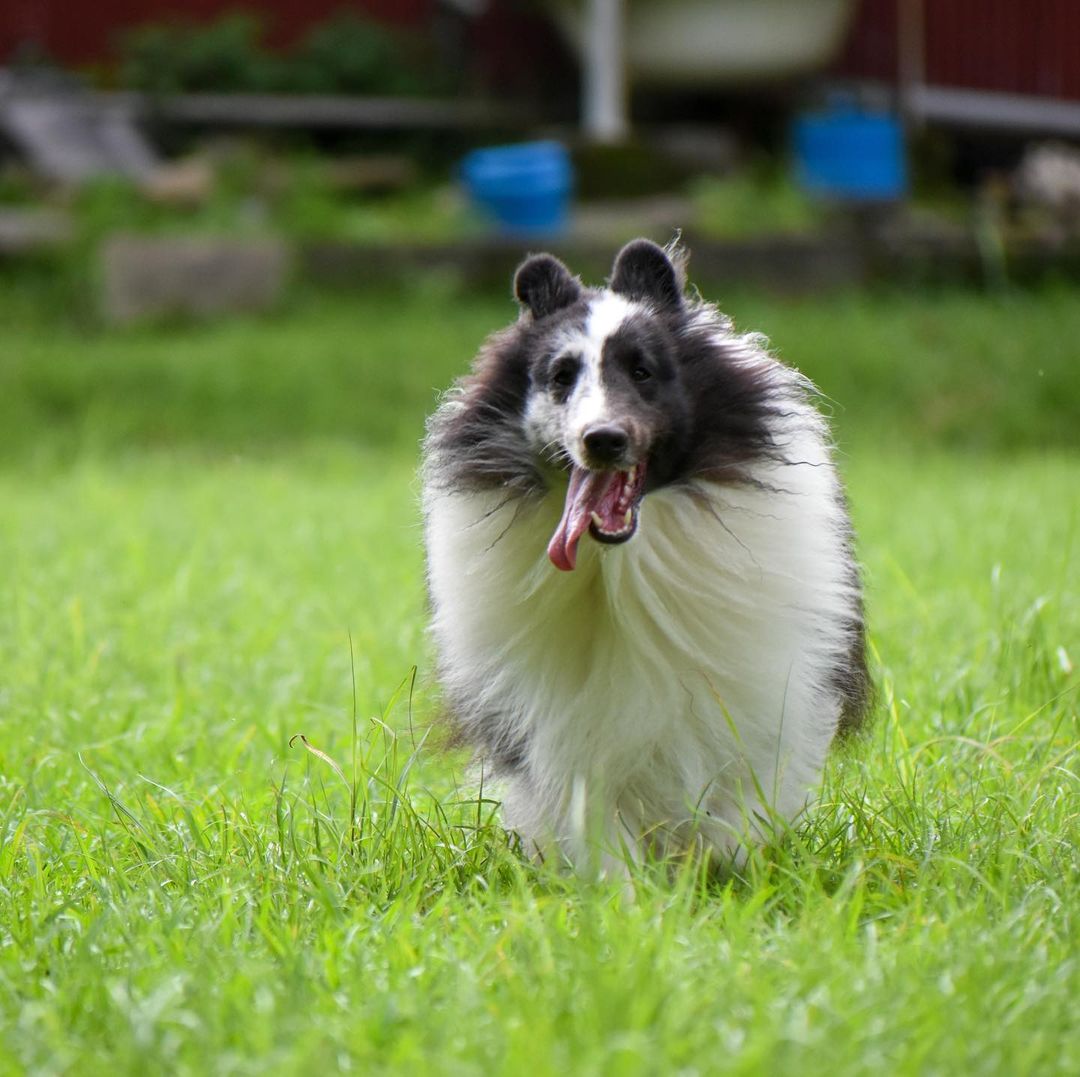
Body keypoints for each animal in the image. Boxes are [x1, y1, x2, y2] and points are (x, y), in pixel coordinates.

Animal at [421, 239, 868, 868]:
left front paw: (718, 869)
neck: (621, 567)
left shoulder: (772, 691)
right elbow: (601, 828)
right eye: (560, 377)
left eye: (642, 370)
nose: (603, 439)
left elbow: (741, 807)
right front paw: (631, 889)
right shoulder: (564, 731)